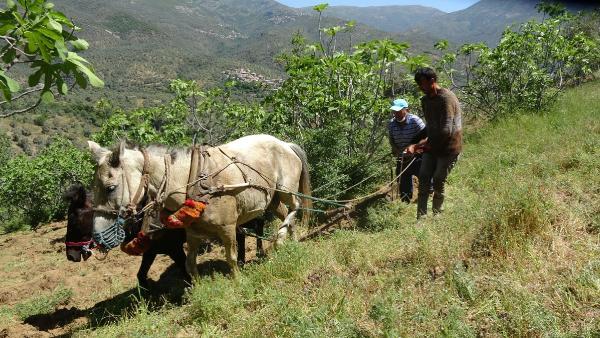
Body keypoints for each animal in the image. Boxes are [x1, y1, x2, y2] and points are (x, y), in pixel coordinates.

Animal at [89, 134, 314, 278]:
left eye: (110, 187)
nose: (98, 237)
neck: (192, 180)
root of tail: (285, 144)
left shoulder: (227, 228)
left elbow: (231, 258)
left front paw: (238, 281)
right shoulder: (193, 234)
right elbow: (189, 264)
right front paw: (197, 290)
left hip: (286, 190)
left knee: (295, 207)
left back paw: (280, 239)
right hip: (273, 199)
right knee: (286, 215)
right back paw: (292, 241)